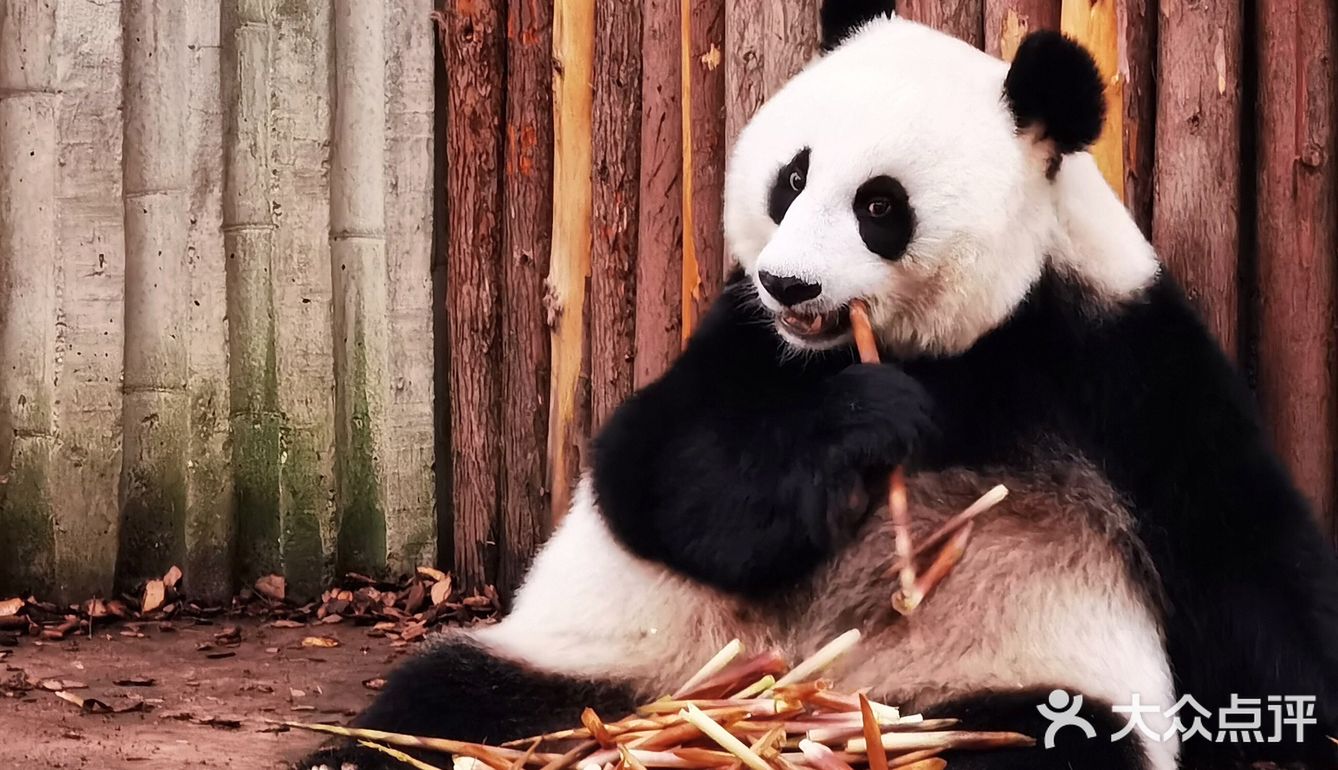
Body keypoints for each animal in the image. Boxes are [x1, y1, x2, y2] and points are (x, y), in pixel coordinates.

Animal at [295, 6, 1338, 770]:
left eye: (880, 205)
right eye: (790, 178)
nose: (789, 285)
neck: (964, 351)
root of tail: (788, 701)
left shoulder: (1120, 357)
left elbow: (1243, 552)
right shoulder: (740, 337)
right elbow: (656, 472)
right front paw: (867, 424)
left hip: (986, 682)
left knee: (1039, 743)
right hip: (615, 659)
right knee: (446, 705)